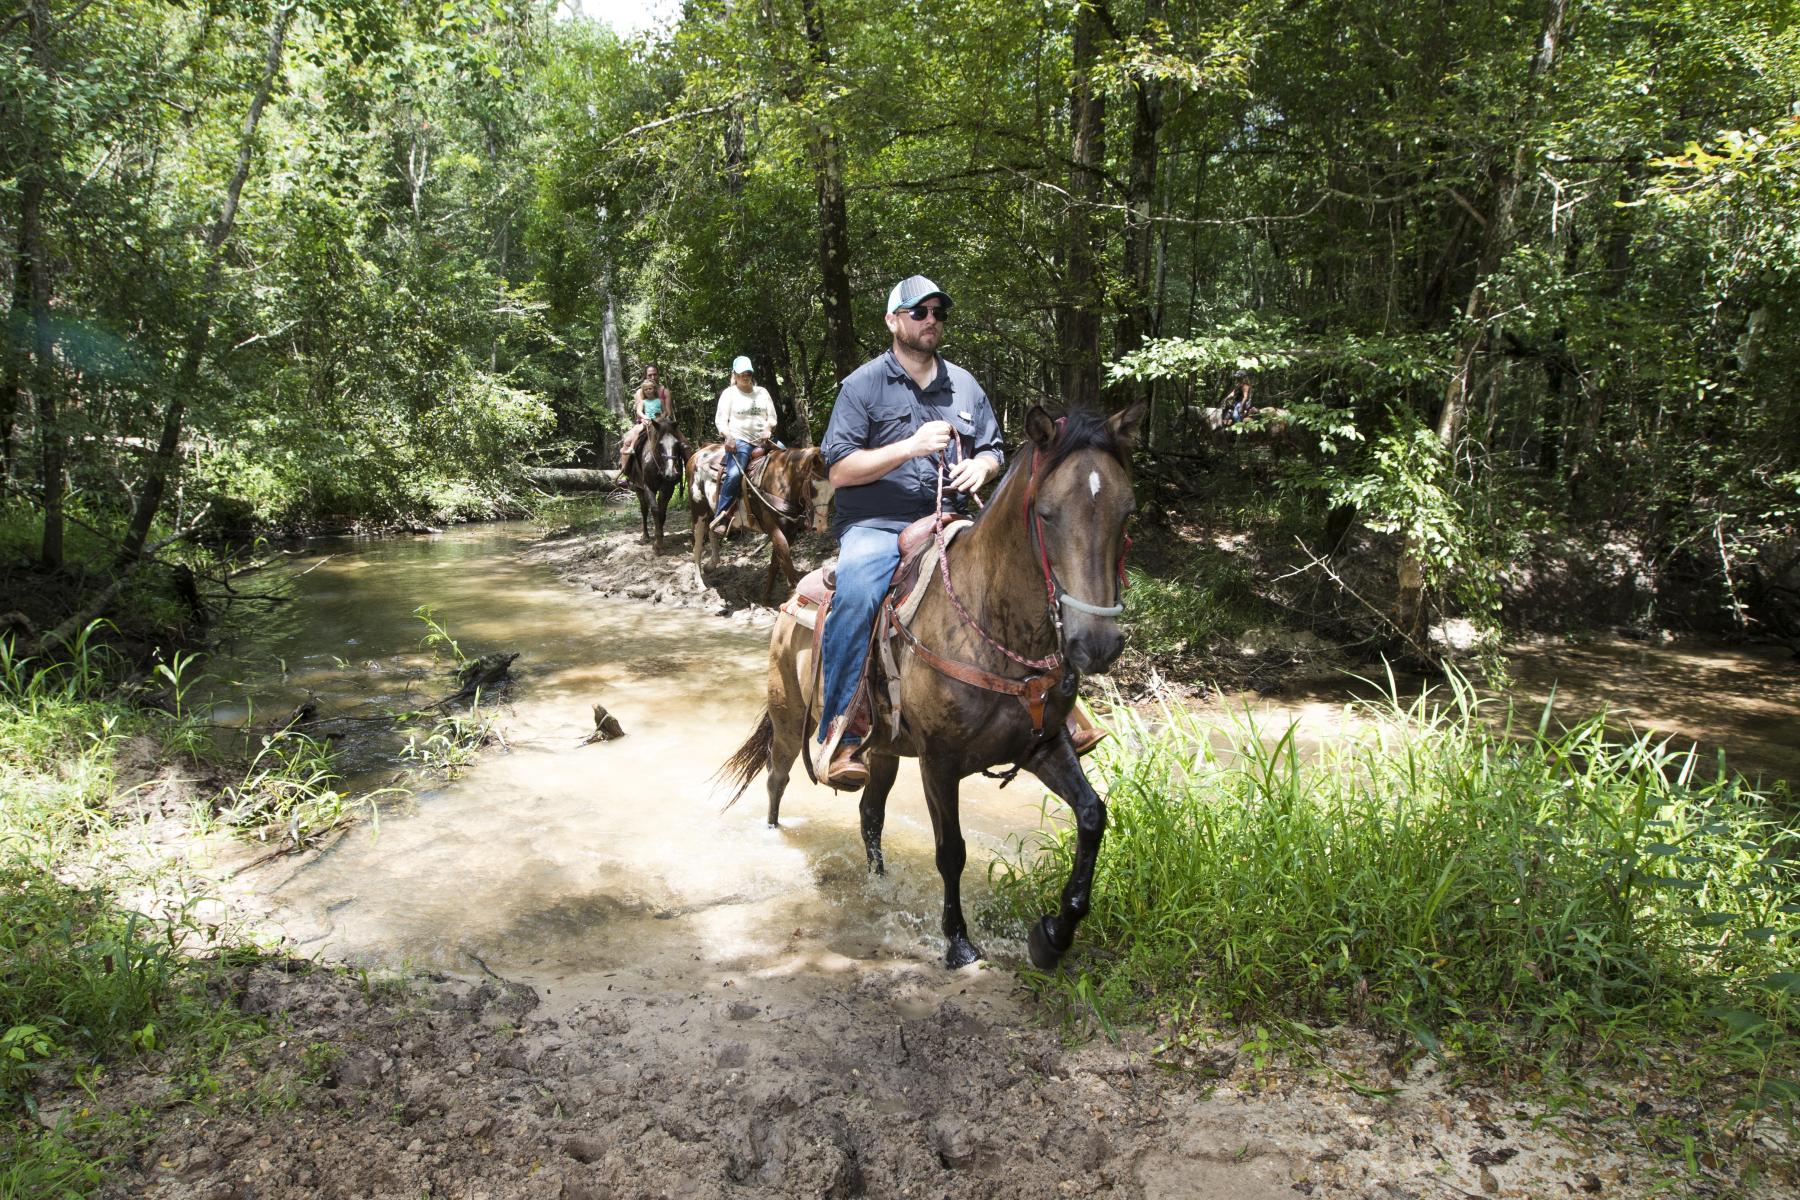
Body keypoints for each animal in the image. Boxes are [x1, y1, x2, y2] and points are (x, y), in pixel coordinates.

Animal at [630, 415, 691, 550]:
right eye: (660, 444)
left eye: (677, 444)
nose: (671, 473)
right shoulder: (648, 487)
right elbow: (655, 509)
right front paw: (657, 544)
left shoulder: (667, 488)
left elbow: (662, 511)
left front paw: (660, 538)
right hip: (638, 488)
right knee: (644, 509)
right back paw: (645, 536)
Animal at [687, 444, 835, 600]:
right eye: (813, 488)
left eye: (833, 491)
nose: (820, 525)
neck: (781, 481)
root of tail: (696, 454)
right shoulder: (772, 526)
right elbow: (785, 556)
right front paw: (793, 592)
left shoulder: (790, 531)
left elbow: (776, 562)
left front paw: (766, 597)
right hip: (698, 511)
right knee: (697, 545)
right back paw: (699, 582)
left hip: (711, 511)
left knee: (712, 530)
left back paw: (711, 564)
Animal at [716, 408, 1137, 971]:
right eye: (1046, 515)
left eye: (1126, 512)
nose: (1097, 644)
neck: (992, 625)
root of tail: (789, 604)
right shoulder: (940, 761)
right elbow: (951, 851)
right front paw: (958, 941)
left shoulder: (1046, 746)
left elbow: (1092, 817)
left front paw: (1053, 934)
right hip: (787, 720)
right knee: (777, 778)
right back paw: (772, 836)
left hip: (882, 748)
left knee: (870, 814)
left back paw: (878, 881)